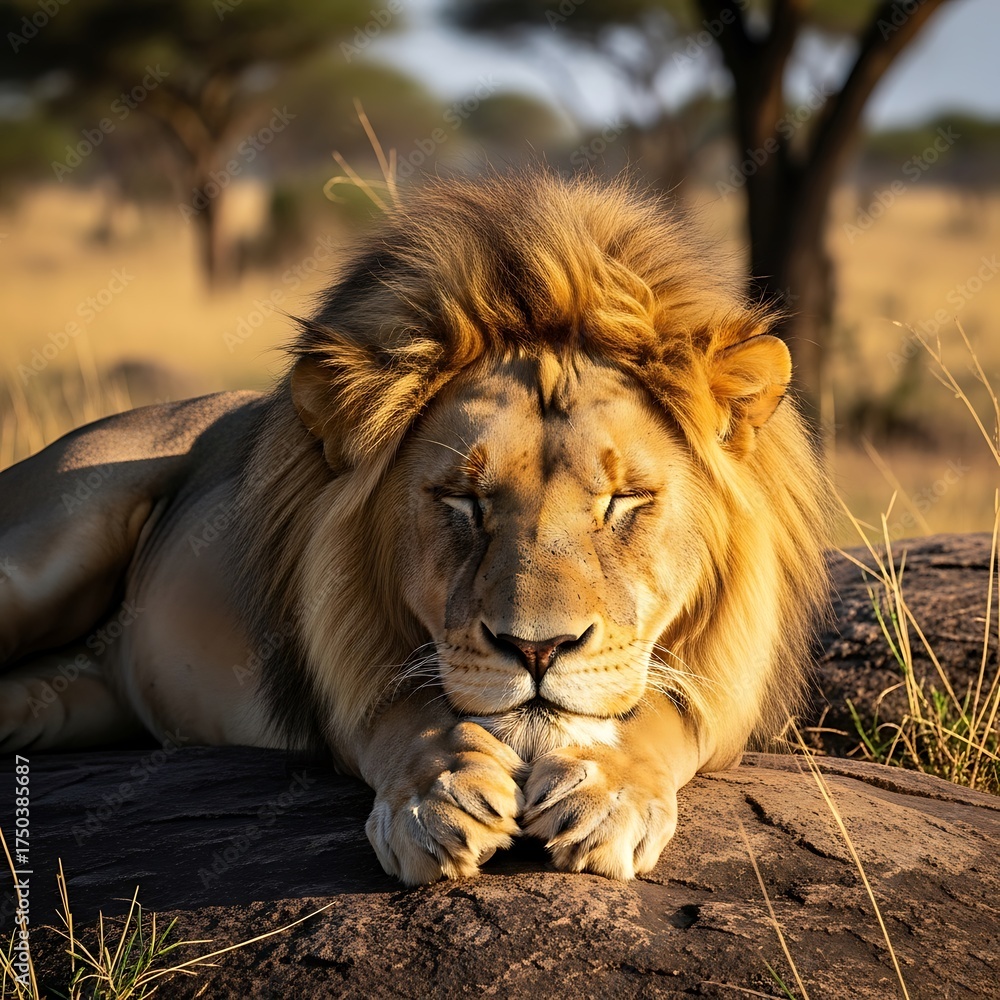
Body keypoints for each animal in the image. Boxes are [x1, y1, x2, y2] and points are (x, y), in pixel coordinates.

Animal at [0, 173, 827, 884]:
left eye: (623, 500)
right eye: (463, 500)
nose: (537, 650)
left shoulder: (731, 692)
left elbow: (664, 710)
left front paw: (605, 793)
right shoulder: (342, 678)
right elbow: (405, 710)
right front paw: (441, 796)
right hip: (53, 541)